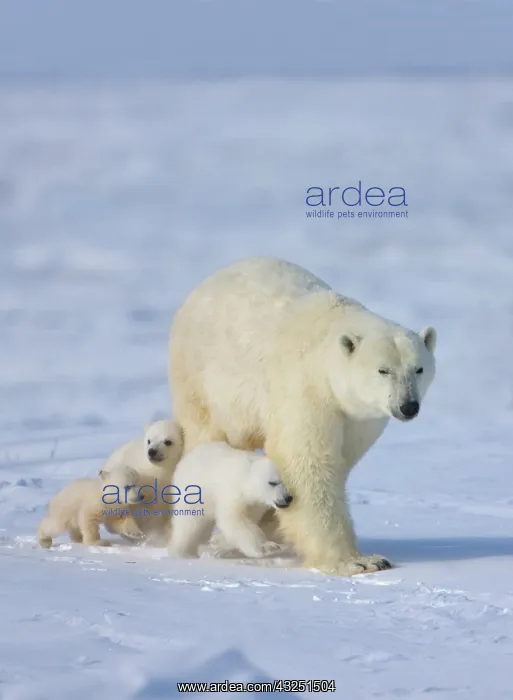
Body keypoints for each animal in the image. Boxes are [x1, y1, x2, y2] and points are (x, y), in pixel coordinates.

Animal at [169, 257, 437, 576]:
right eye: (383, 370)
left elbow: (338, 459)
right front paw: (359, 561)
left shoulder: (359, 419)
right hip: (203, 380)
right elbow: (306, 461)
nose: (408, 406)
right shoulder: (306, 389)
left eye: (419, 369)